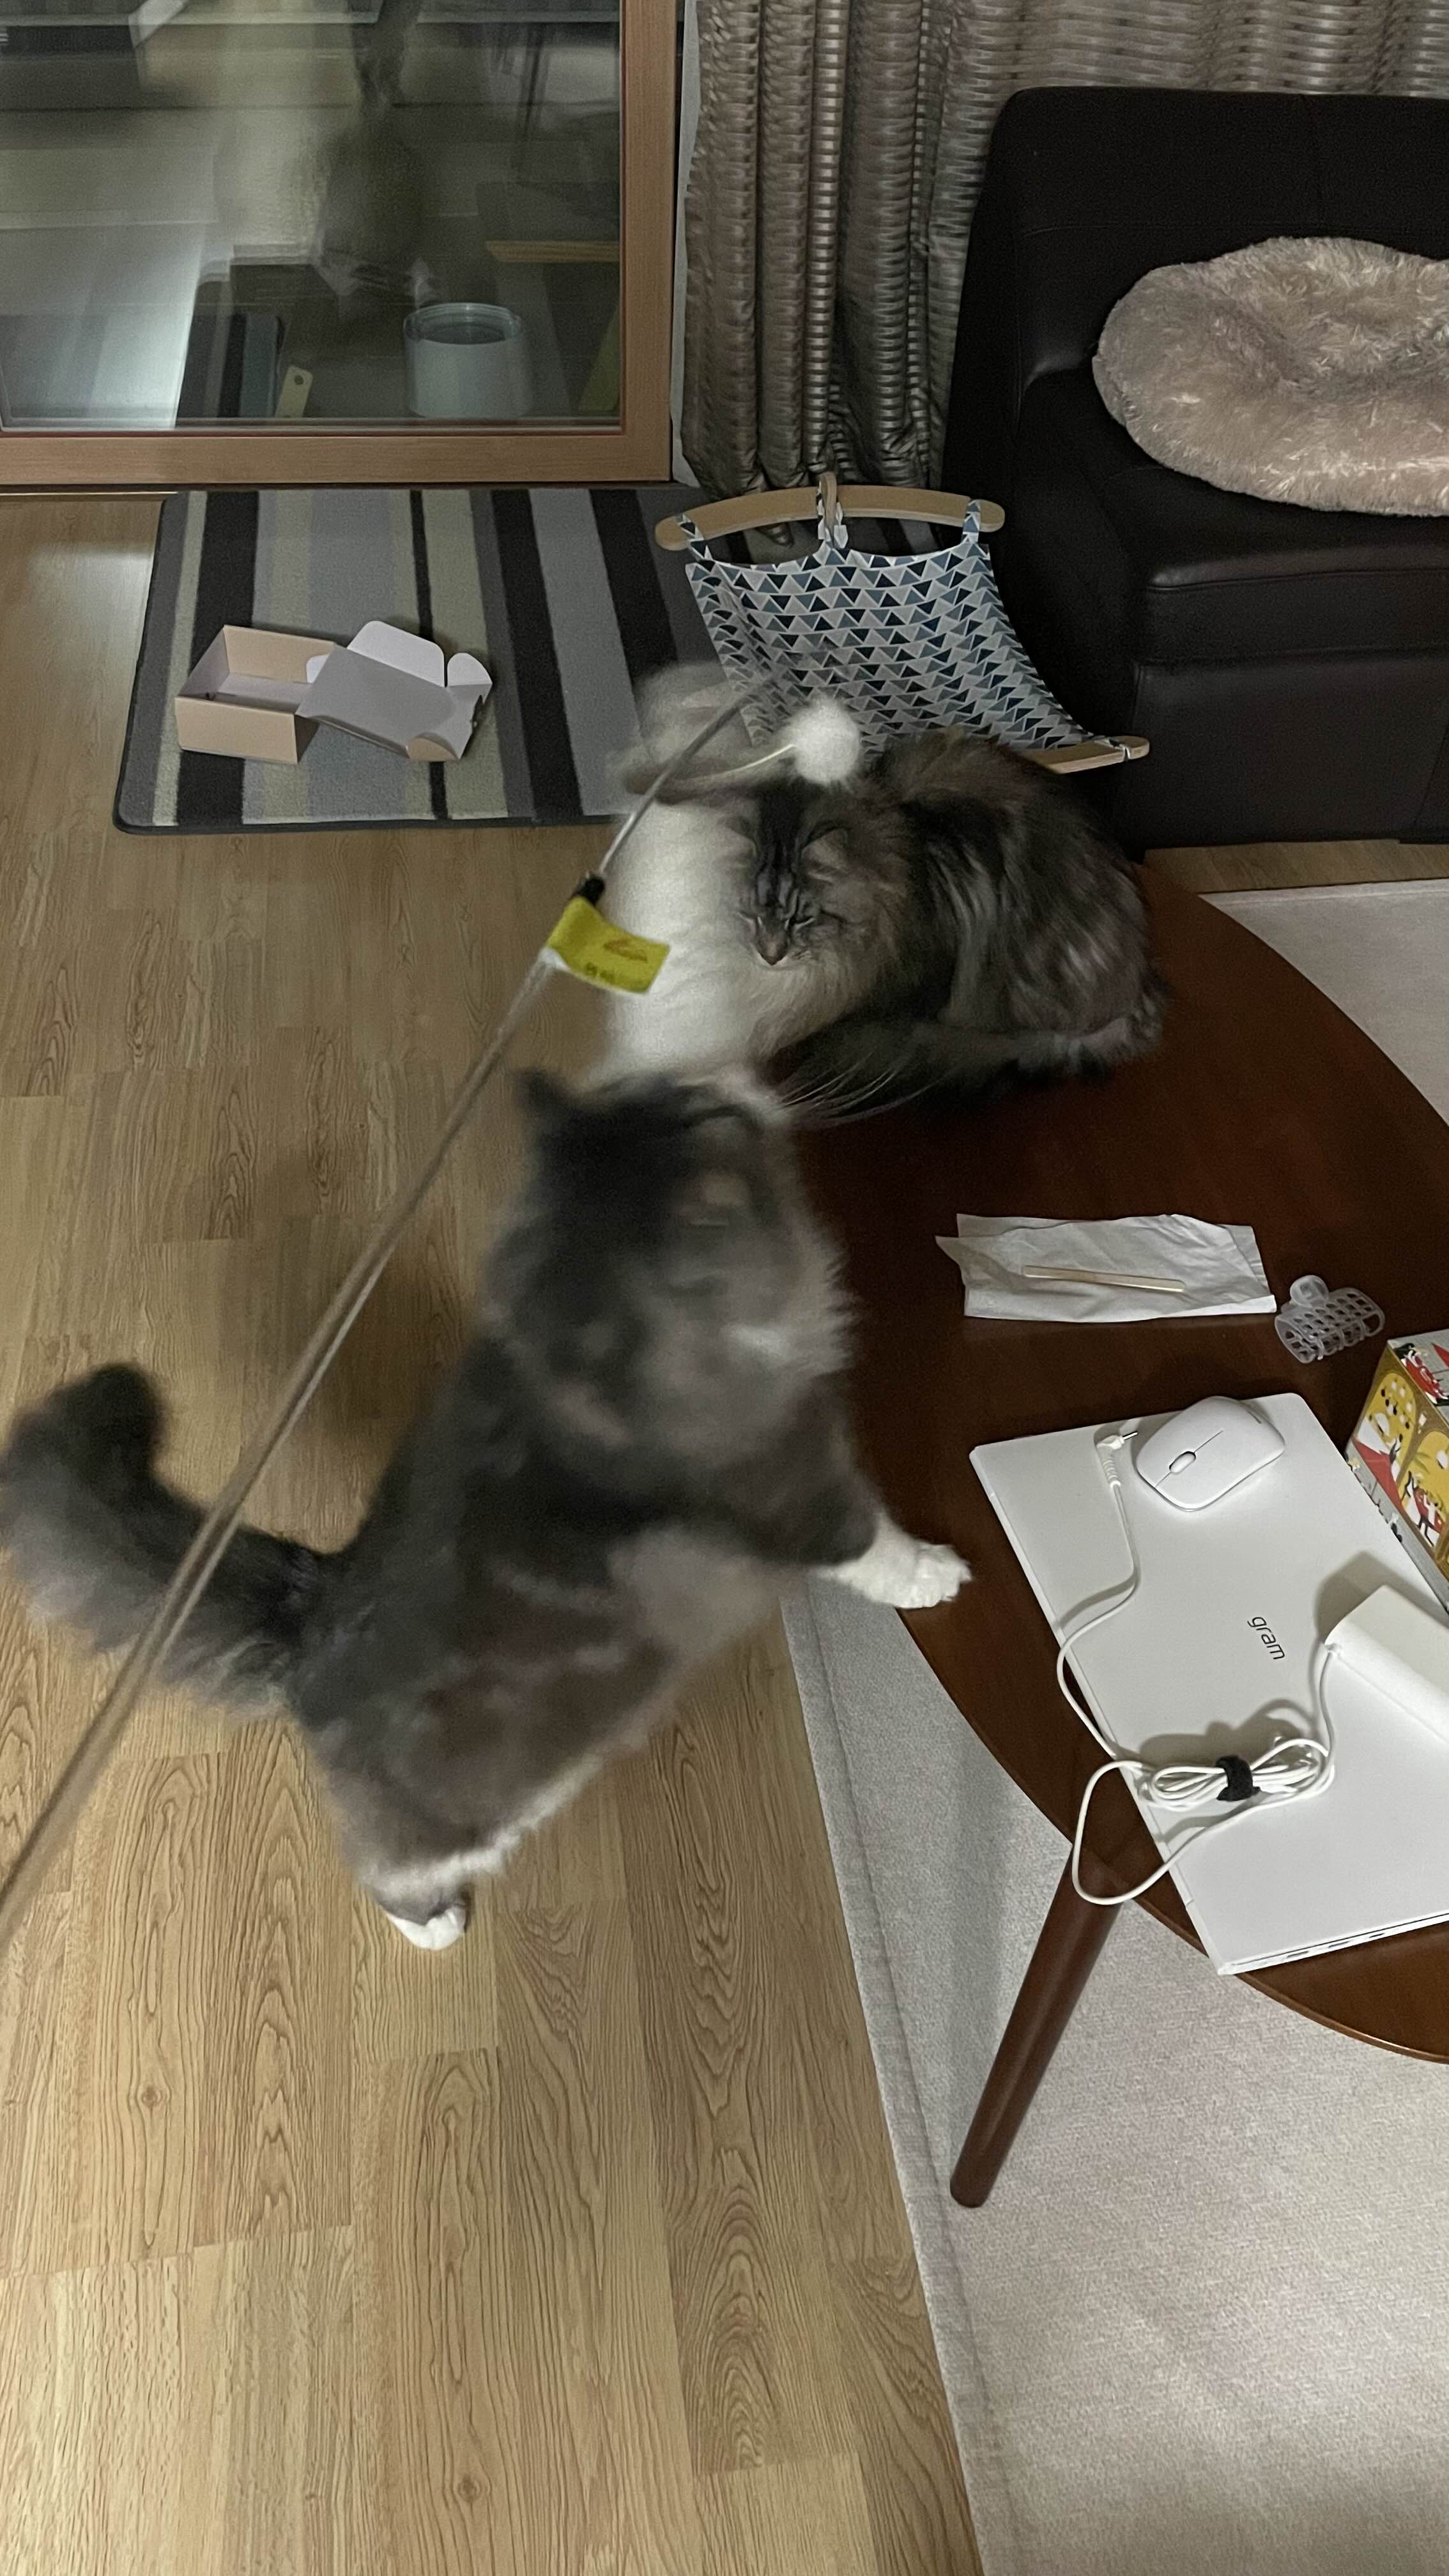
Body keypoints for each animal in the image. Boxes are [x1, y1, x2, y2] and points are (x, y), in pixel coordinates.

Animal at [0, 1069, 967, 1948]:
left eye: (675, 1090)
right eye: (710, 1110)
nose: (730, 1073)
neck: (593, 1376)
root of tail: (314, 1612)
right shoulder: (806, 1486)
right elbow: (881, 1549)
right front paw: (939, 1574)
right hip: (470, 1817)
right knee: (388, 1868)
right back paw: (435, 1927)